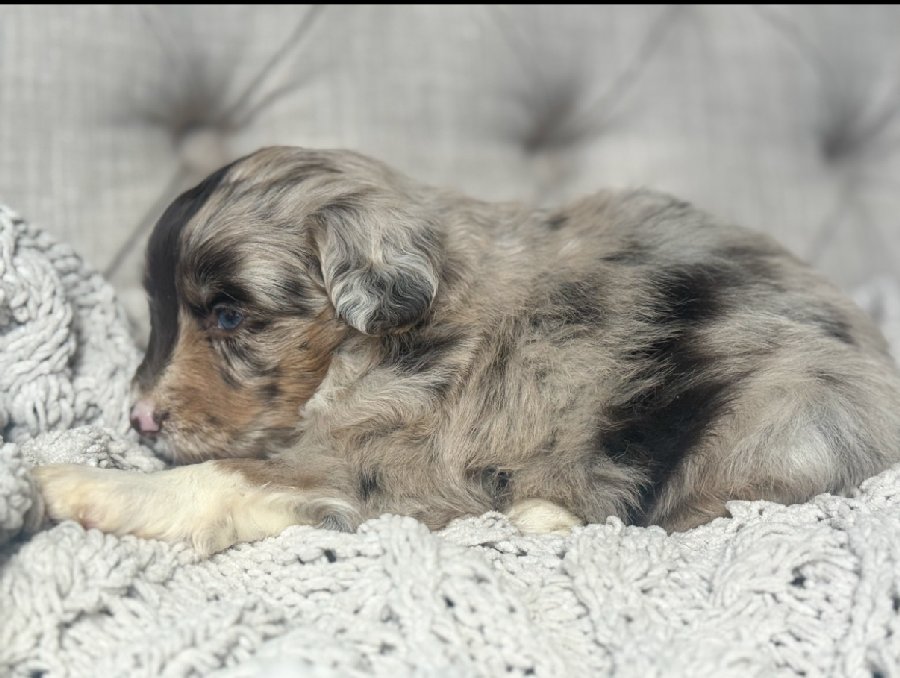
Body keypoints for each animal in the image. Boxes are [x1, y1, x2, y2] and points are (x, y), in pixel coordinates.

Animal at [32, 146, 900, 555]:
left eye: (229, 315)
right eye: (155, 313)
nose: (140, 419)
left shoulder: (391, 459)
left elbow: (223, 476)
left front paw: (77, 484)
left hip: (777, 412)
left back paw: (542, 513)